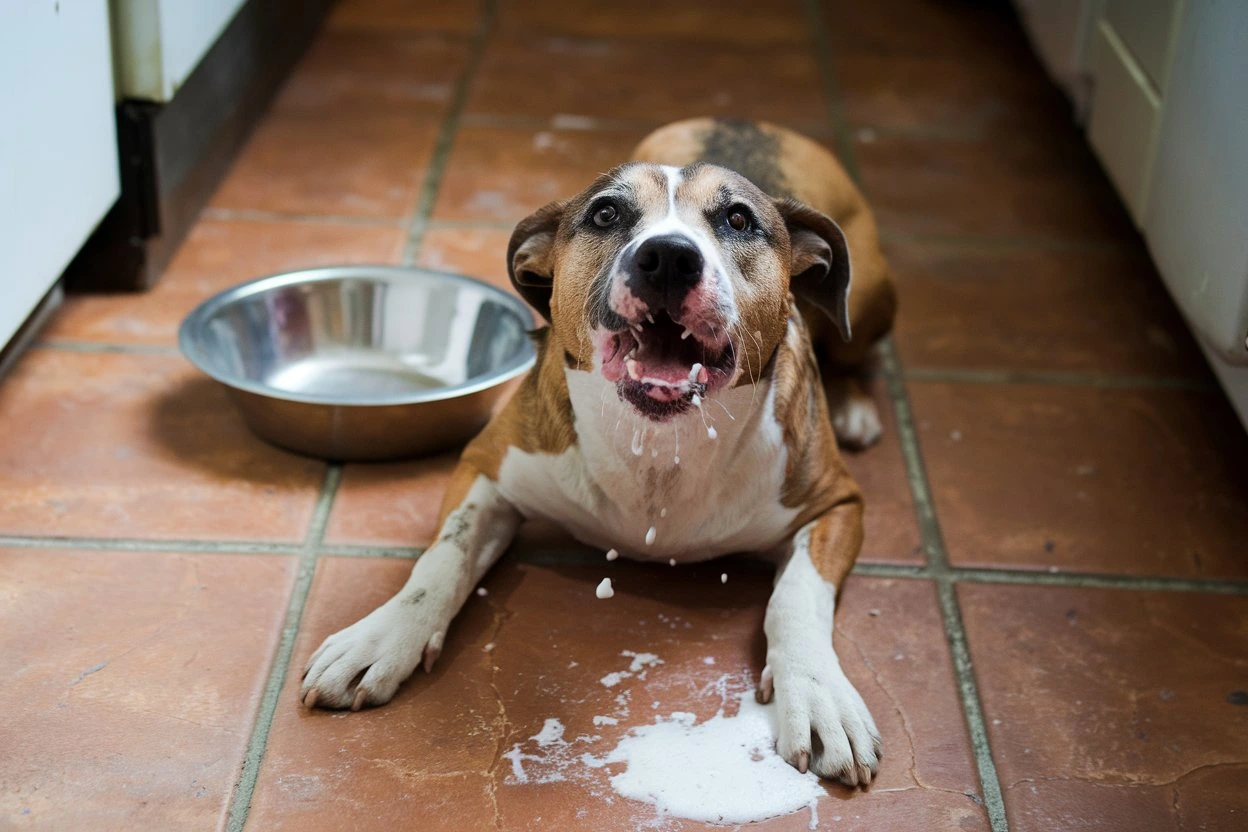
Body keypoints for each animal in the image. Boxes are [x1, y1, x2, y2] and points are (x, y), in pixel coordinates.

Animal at [297, 117, 893, 788]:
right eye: (606, 213)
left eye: (738, 218)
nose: (669, 257)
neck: (659, 444)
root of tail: (749, 121)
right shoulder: (486, 466)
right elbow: (440, 560)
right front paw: (382, 636)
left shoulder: (837, 505)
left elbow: (797, 596)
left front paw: (818, 695)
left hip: (869, 294)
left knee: (854, 345)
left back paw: (854, 406)